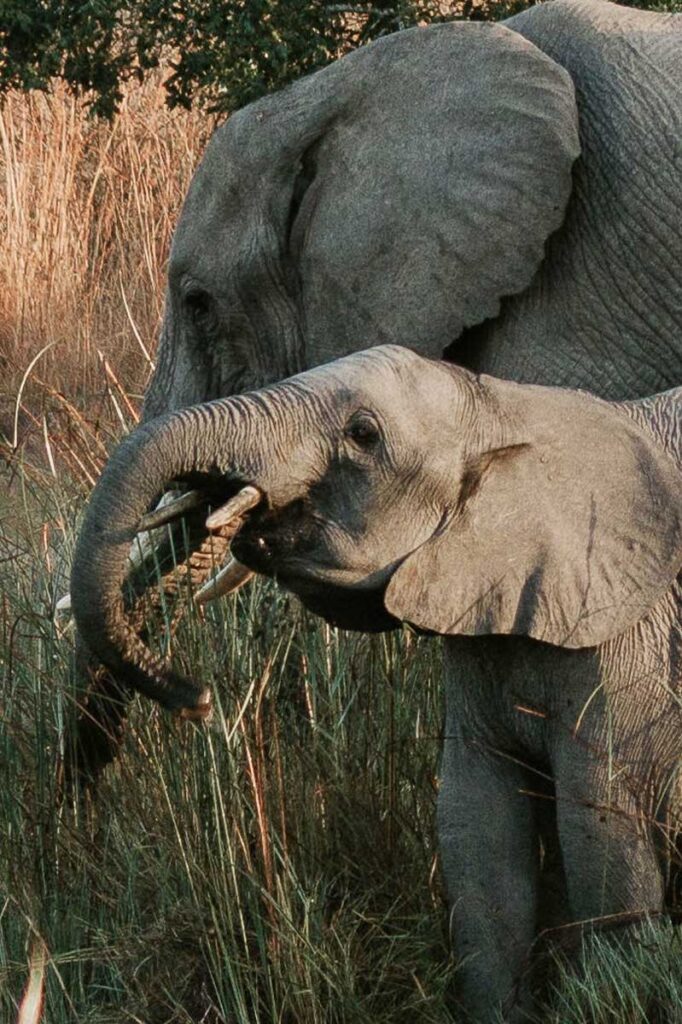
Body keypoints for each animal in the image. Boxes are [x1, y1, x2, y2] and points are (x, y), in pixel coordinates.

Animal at [73, 346, 679, 1024]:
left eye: (363, 434)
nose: (197, 701)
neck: (506, 408)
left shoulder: (626, 635)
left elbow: (603, 835)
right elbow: (478, 834)